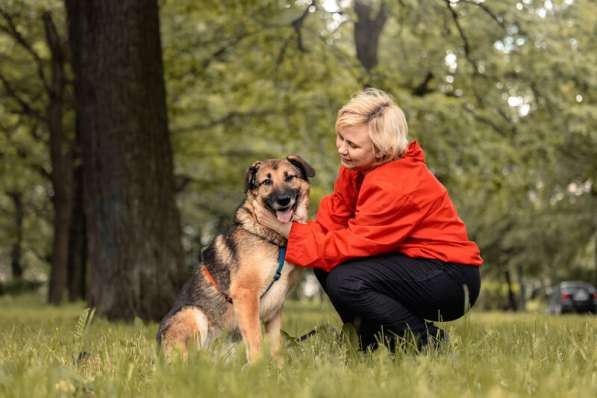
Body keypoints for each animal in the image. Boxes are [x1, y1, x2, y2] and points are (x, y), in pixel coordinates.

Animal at [158, 155, 314, 364]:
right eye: (267, 182)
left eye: (289, 177)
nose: (283, 200)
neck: (270, 237)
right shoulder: (246, 295)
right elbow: (256, 340)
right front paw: (259, 368)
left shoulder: (275, 309)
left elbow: (275, 346)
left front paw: (279, 369)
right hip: (193, 314)